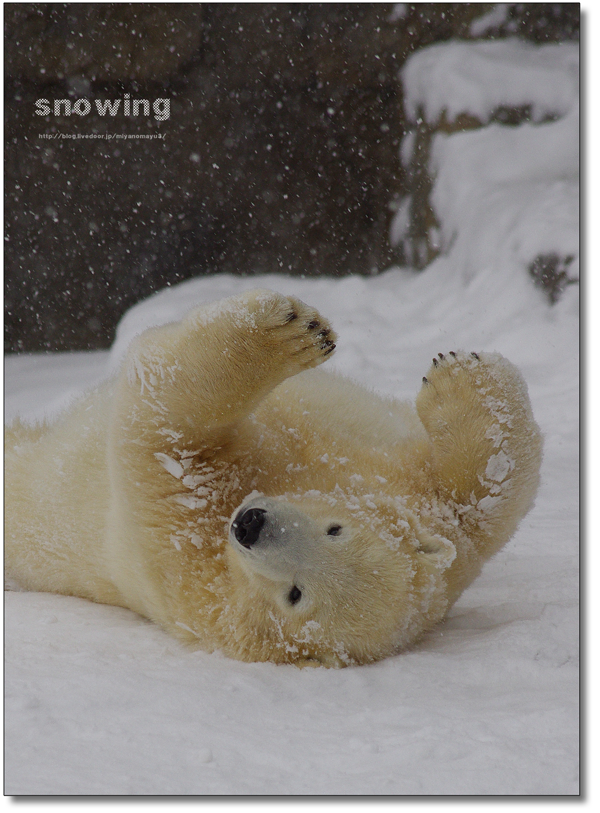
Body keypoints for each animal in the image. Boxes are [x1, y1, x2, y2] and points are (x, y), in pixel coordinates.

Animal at [4, 290, 540, 668]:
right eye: (336, 529)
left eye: (295, 594)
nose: (251, 525)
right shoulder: (436, 516)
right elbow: (489, 494)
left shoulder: (185, 556)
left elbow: (166, 434)